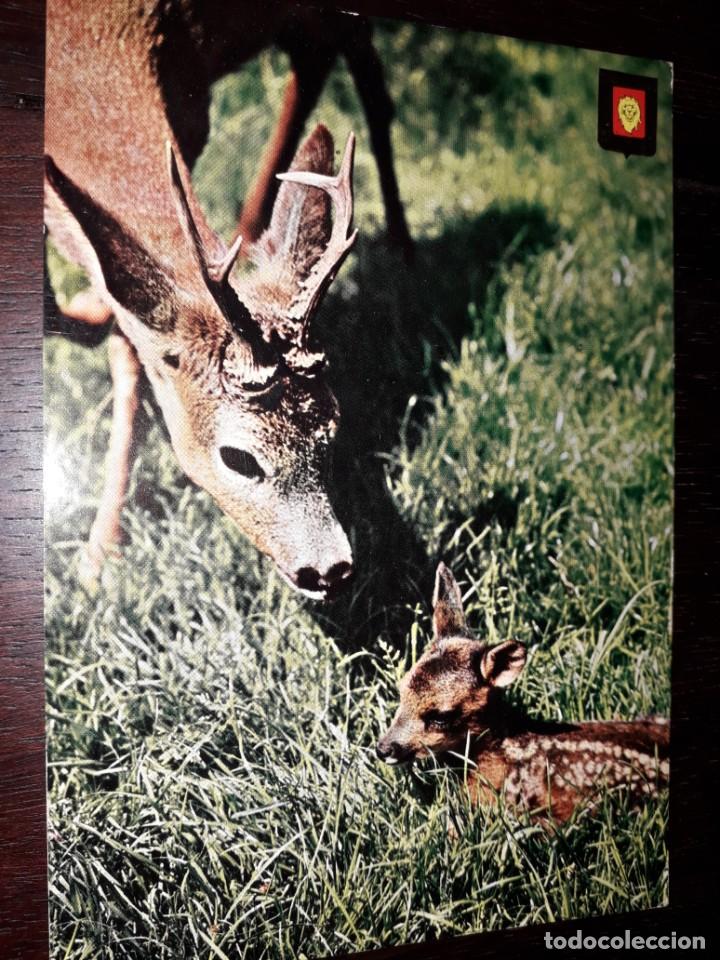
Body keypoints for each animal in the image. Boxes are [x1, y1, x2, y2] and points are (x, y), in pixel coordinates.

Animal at [44, 0, 410, 599]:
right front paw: (103, 551)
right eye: (238, 459)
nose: (331, 571)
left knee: (365, 74)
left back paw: (405, 245)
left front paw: (100, 554)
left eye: (333, 431)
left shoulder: (189, 115)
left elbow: (126, 333)